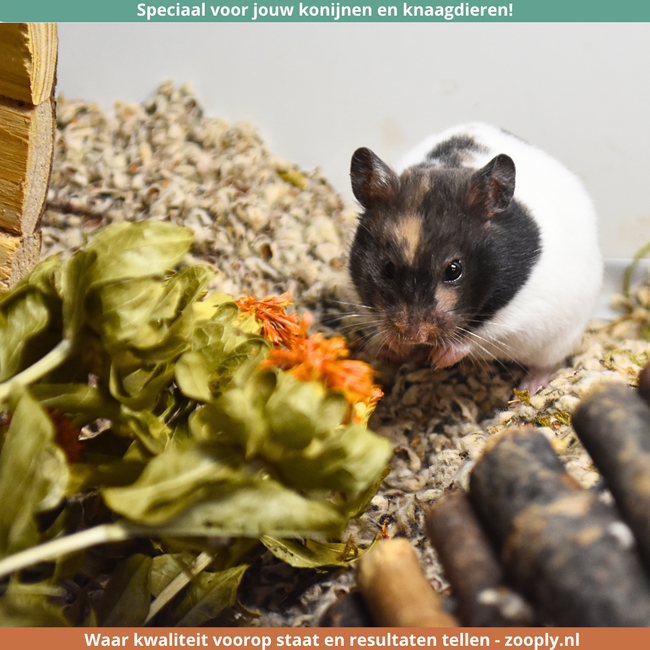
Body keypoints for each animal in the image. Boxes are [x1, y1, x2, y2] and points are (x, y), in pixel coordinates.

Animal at [348, 123, 603, 392]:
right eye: (387, 268)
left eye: (454, 270)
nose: (414, 336)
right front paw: (398, 345)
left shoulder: (520, 316)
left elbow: (475, 337)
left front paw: (438, 359)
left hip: (560, 339)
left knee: (545, 364)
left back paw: (529, 388)